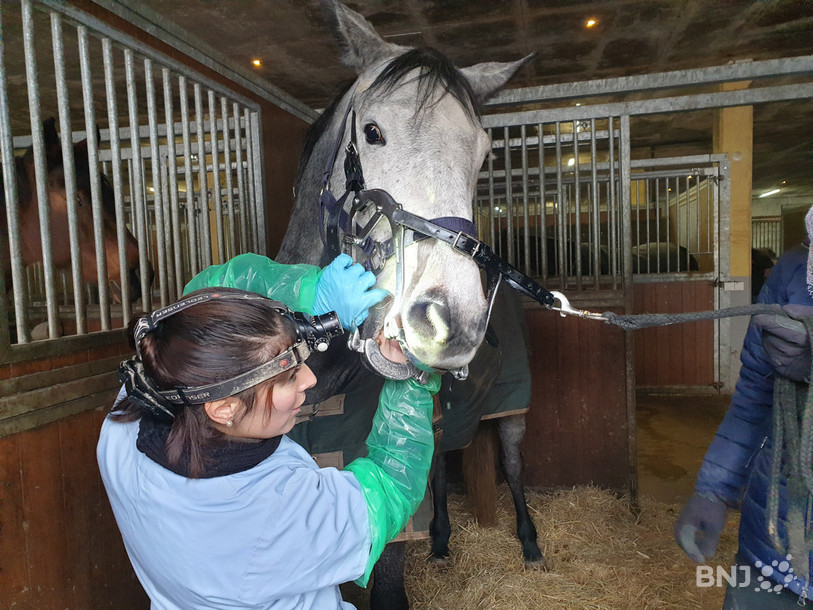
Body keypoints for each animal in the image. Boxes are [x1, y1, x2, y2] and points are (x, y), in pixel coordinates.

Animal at [278, 1, 542, 607]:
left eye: (483, 155)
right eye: (373, 132)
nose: (451, 322)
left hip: (512, 410)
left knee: (514, 464)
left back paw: (529, 542)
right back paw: (442, 541)